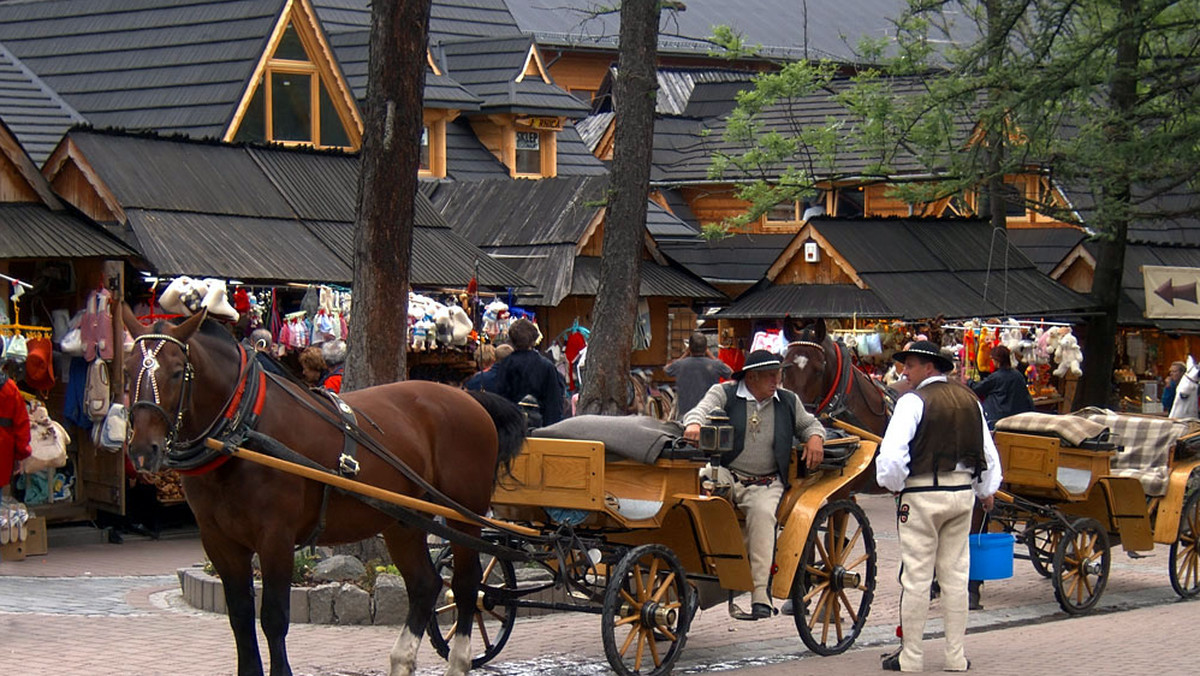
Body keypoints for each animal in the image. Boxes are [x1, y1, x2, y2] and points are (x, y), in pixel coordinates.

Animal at [120, 307, 525, 676]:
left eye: (177, 371)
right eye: (126, 369)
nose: (142, 450)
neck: (242, 430)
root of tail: (471, 399)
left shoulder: (276, 537)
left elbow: (273, 618)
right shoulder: (219, 541)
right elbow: (240, 618)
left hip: (463, 515)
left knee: (466, 583)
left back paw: (459, 662)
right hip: (404, 520)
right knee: (426, 584)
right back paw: (402, 660)